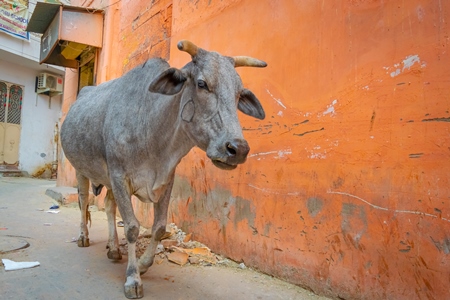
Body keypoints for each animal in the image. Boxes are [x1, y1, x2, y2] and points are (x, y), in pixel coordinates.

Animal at [58, 40, 266, 300]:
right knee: (84, 201)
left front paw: (143, 265)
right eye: (202, 84)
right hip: (81, 170)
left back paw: (114, 248)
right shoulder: (119, 176)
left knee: (108, 206)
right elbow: (132, 227)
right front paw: (133, 278)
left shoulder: (165, 181)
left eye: (239, 94)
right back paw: (84, 237)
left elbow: (158, 228)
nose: (238, 149)